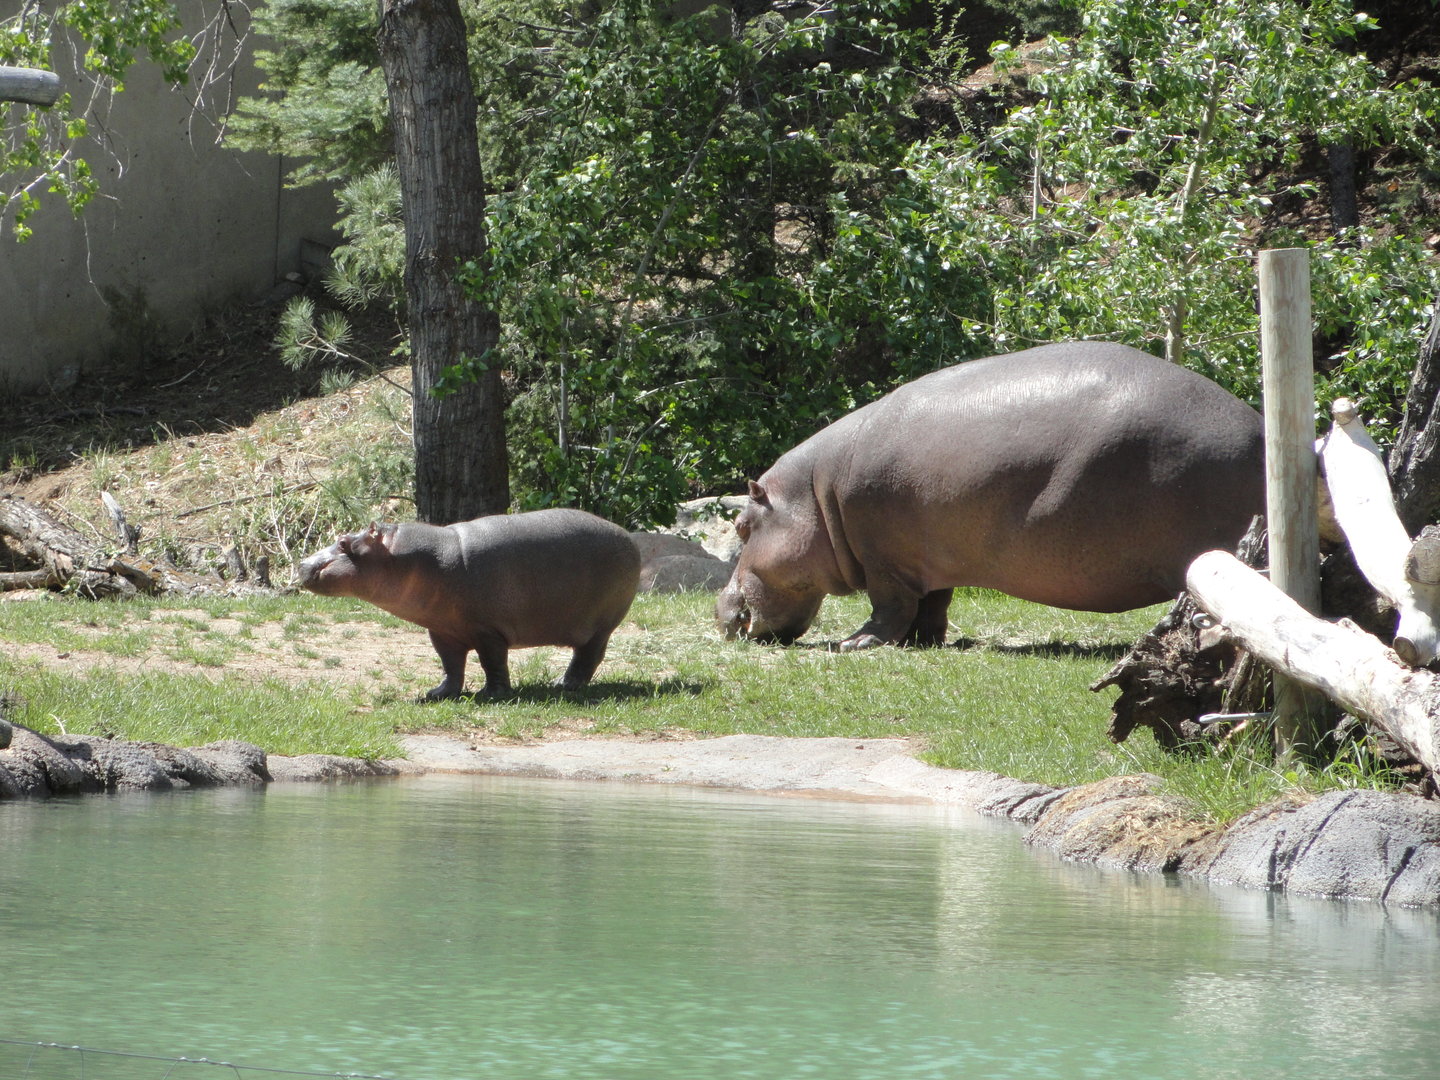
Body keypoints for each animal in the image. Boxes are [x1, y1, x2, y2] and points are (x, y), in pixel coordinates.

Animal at [297, 508, 641, 697]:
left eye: (344, 543)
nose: (301, 564)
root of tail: (628, 536)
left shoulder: (488, 631)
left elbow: (493, 662)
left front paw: (492, 694)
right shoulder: (443, 631)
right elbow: (451, 664)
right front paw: (437, 694)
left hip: (600, 625)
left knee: (588, 657)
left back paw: (564, 686)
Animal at [716, 342, 1265, 649]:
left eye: (741, 527)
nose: (719, 612)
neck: (815, 494)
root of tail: (1261, 429)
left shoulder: (884, 562)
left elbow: (888, 607)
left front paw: (856, 644)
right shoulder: (925, 558)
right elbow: (932, 603)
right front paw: (925, 642)